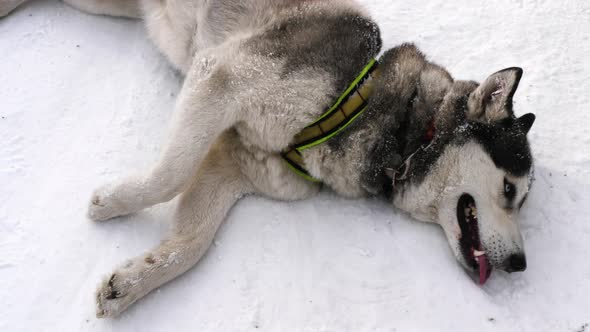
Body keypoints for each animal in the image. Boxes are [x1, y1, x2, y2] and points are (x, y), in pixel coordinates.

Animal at [1, 0, 536, 318]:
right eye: (510, 190)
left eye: (523, 200)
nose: (520, 264)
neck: (401, 124)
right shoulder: (220, 77)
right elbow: (170, 175)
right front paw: (112, 200)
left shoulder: (235, 161)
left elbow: (191, 243)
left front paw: (135, 279)